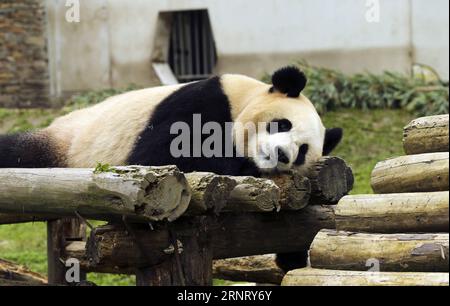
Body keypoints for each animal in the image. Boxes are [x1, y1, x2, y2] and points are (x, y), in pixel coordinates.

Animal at [0, 66, 342, 270]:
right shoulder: (201, 102)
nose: (281, 154)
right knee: (18, 152)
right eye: (282, 124)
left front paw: (294, 255)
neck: (242, 99)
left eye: (303, 151)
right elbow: (161, 154)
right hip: (67, 144)